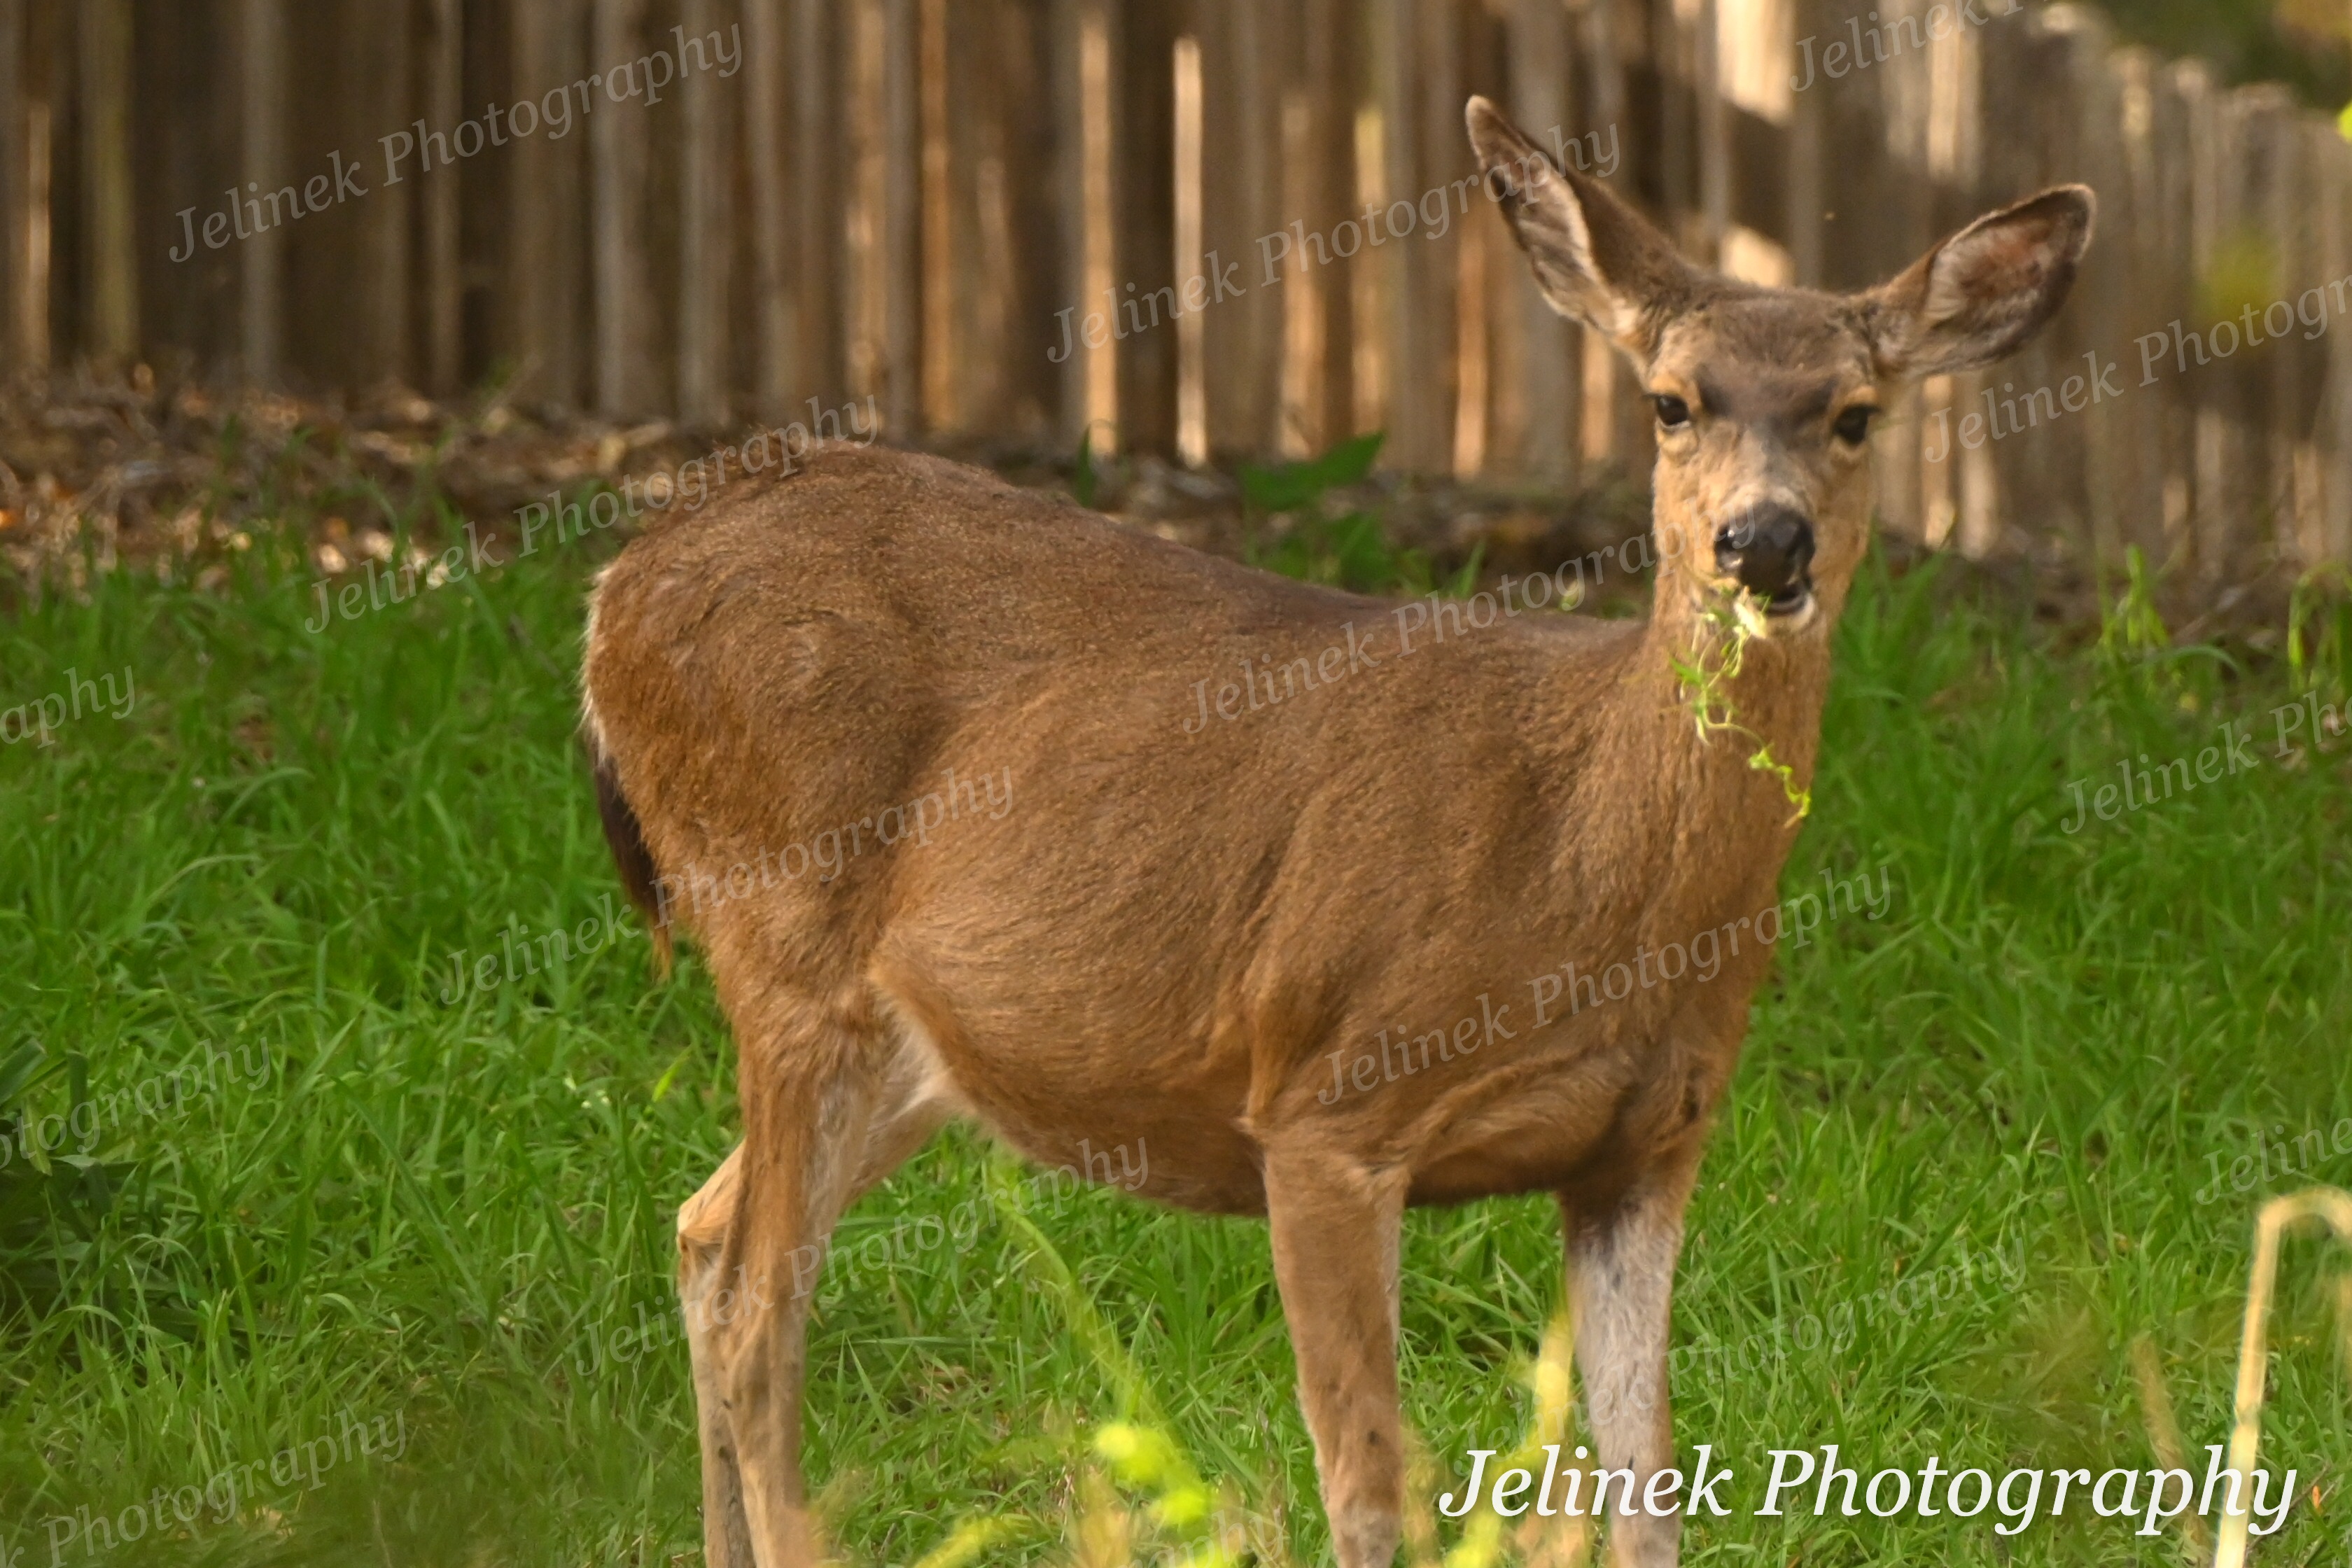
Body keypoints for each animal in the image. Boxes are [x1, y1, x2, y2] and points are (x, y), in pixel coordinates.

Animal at [578, 96, 2090, 1568]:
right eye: (1672, 402)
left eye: (1856, 414)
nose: (1762, 542)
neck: (1588, 865)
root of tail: (617, 585)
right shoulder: (1325, 1098)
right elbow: (1370, 1486)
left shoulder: (1649, 1146)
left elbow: (1646, 1480)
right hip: (784, 935)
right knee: (759, 1308)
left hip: (913, 1042)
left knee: (703, 1236)